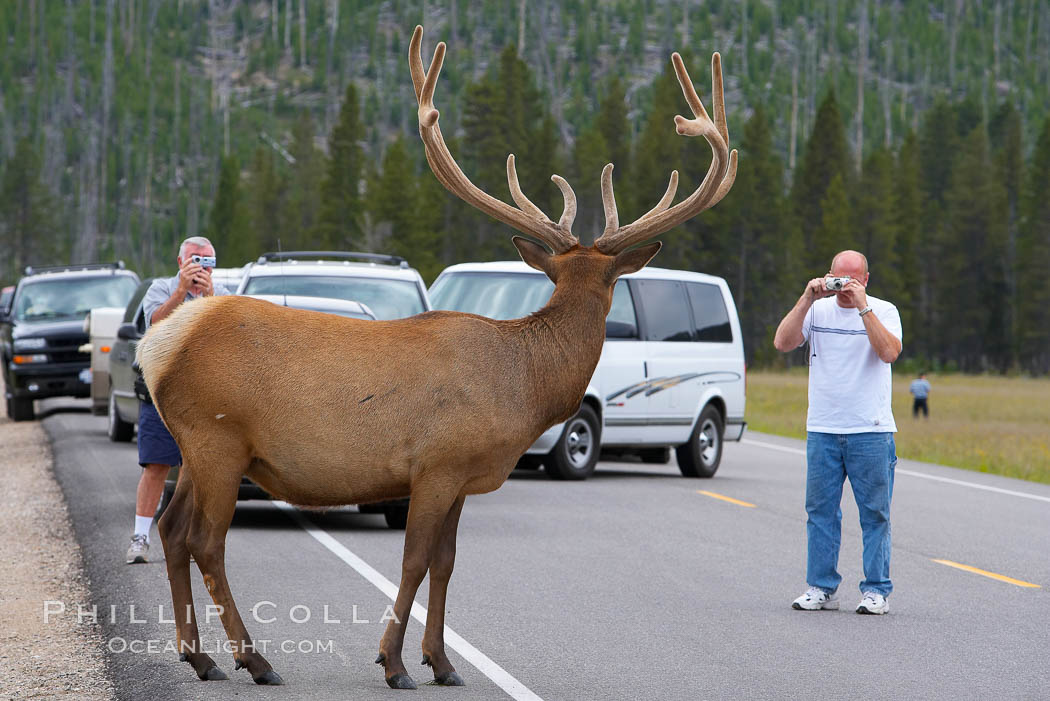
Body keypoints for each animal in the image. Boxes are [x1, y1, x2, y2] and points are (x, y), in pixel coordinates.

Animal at [141, 25, 739, 688]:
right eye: (612, 286)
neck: (523, 385)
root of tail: (158, 344)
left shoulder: (462, 478)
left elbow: (446, 563)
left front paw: (442, 662)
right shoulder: (436, 463)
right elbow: (413, 561)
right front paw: (394, 662)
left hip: (196, 447)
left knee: (172, 529)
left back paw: (200, 656)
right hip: (219, 438)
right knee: (205, 540)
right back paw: (254, 659)